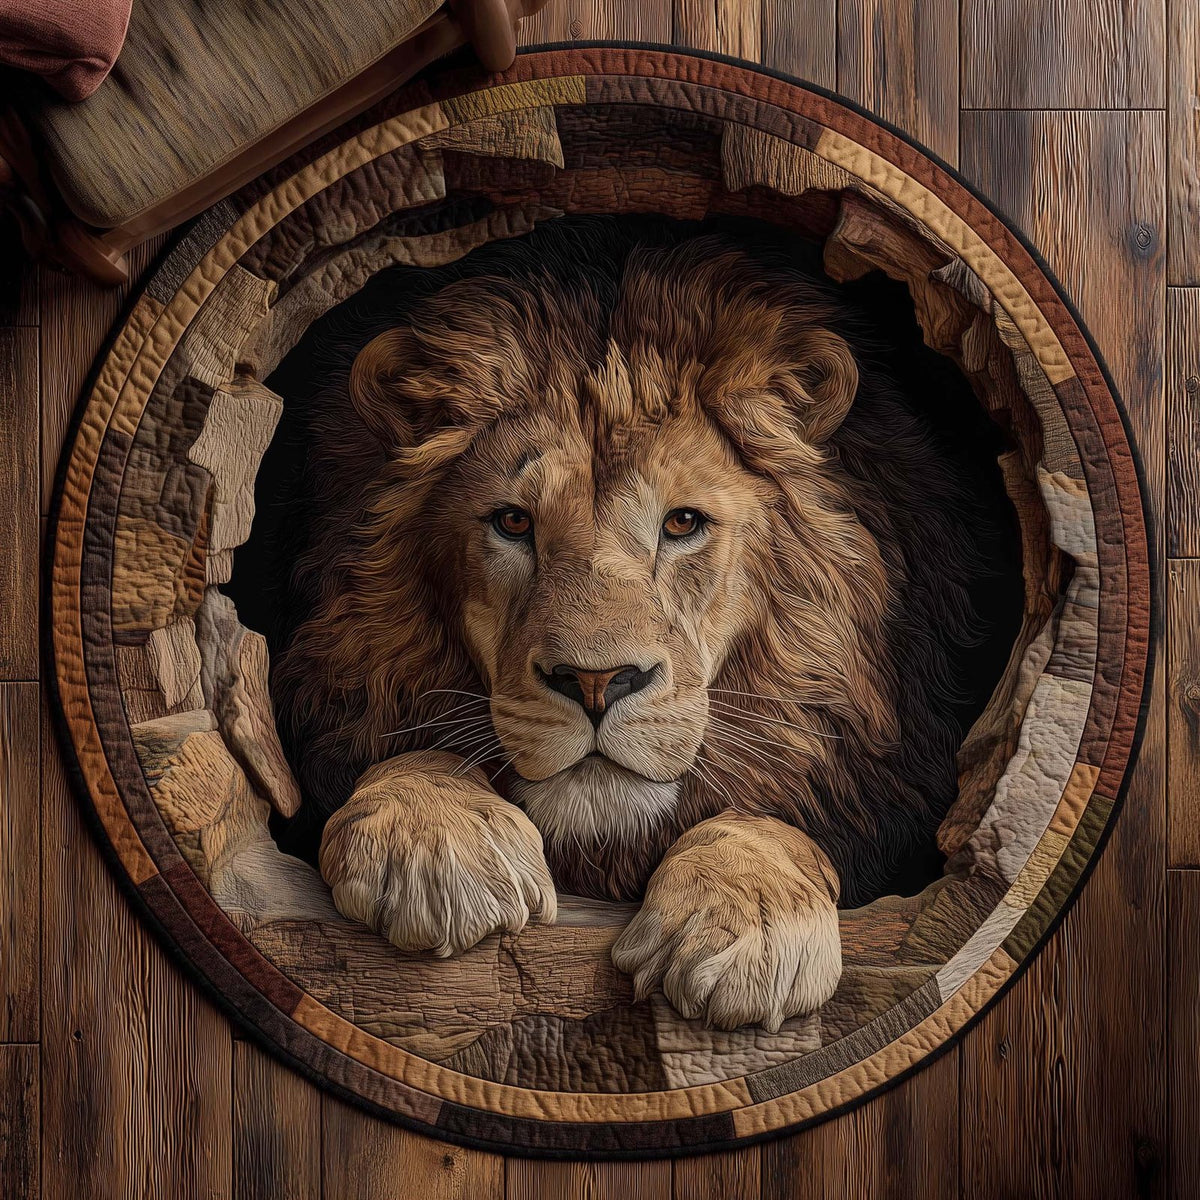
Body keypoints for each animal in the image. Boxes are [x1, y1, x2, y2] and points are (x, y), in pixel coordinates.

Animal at [266, 217, 1012, 1032]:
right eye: (513, 522)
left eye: (682, 523)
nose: (596, 682)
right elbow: (407, 755)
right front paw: (433, 845)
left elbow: (763, 820)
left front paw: (746, 923)